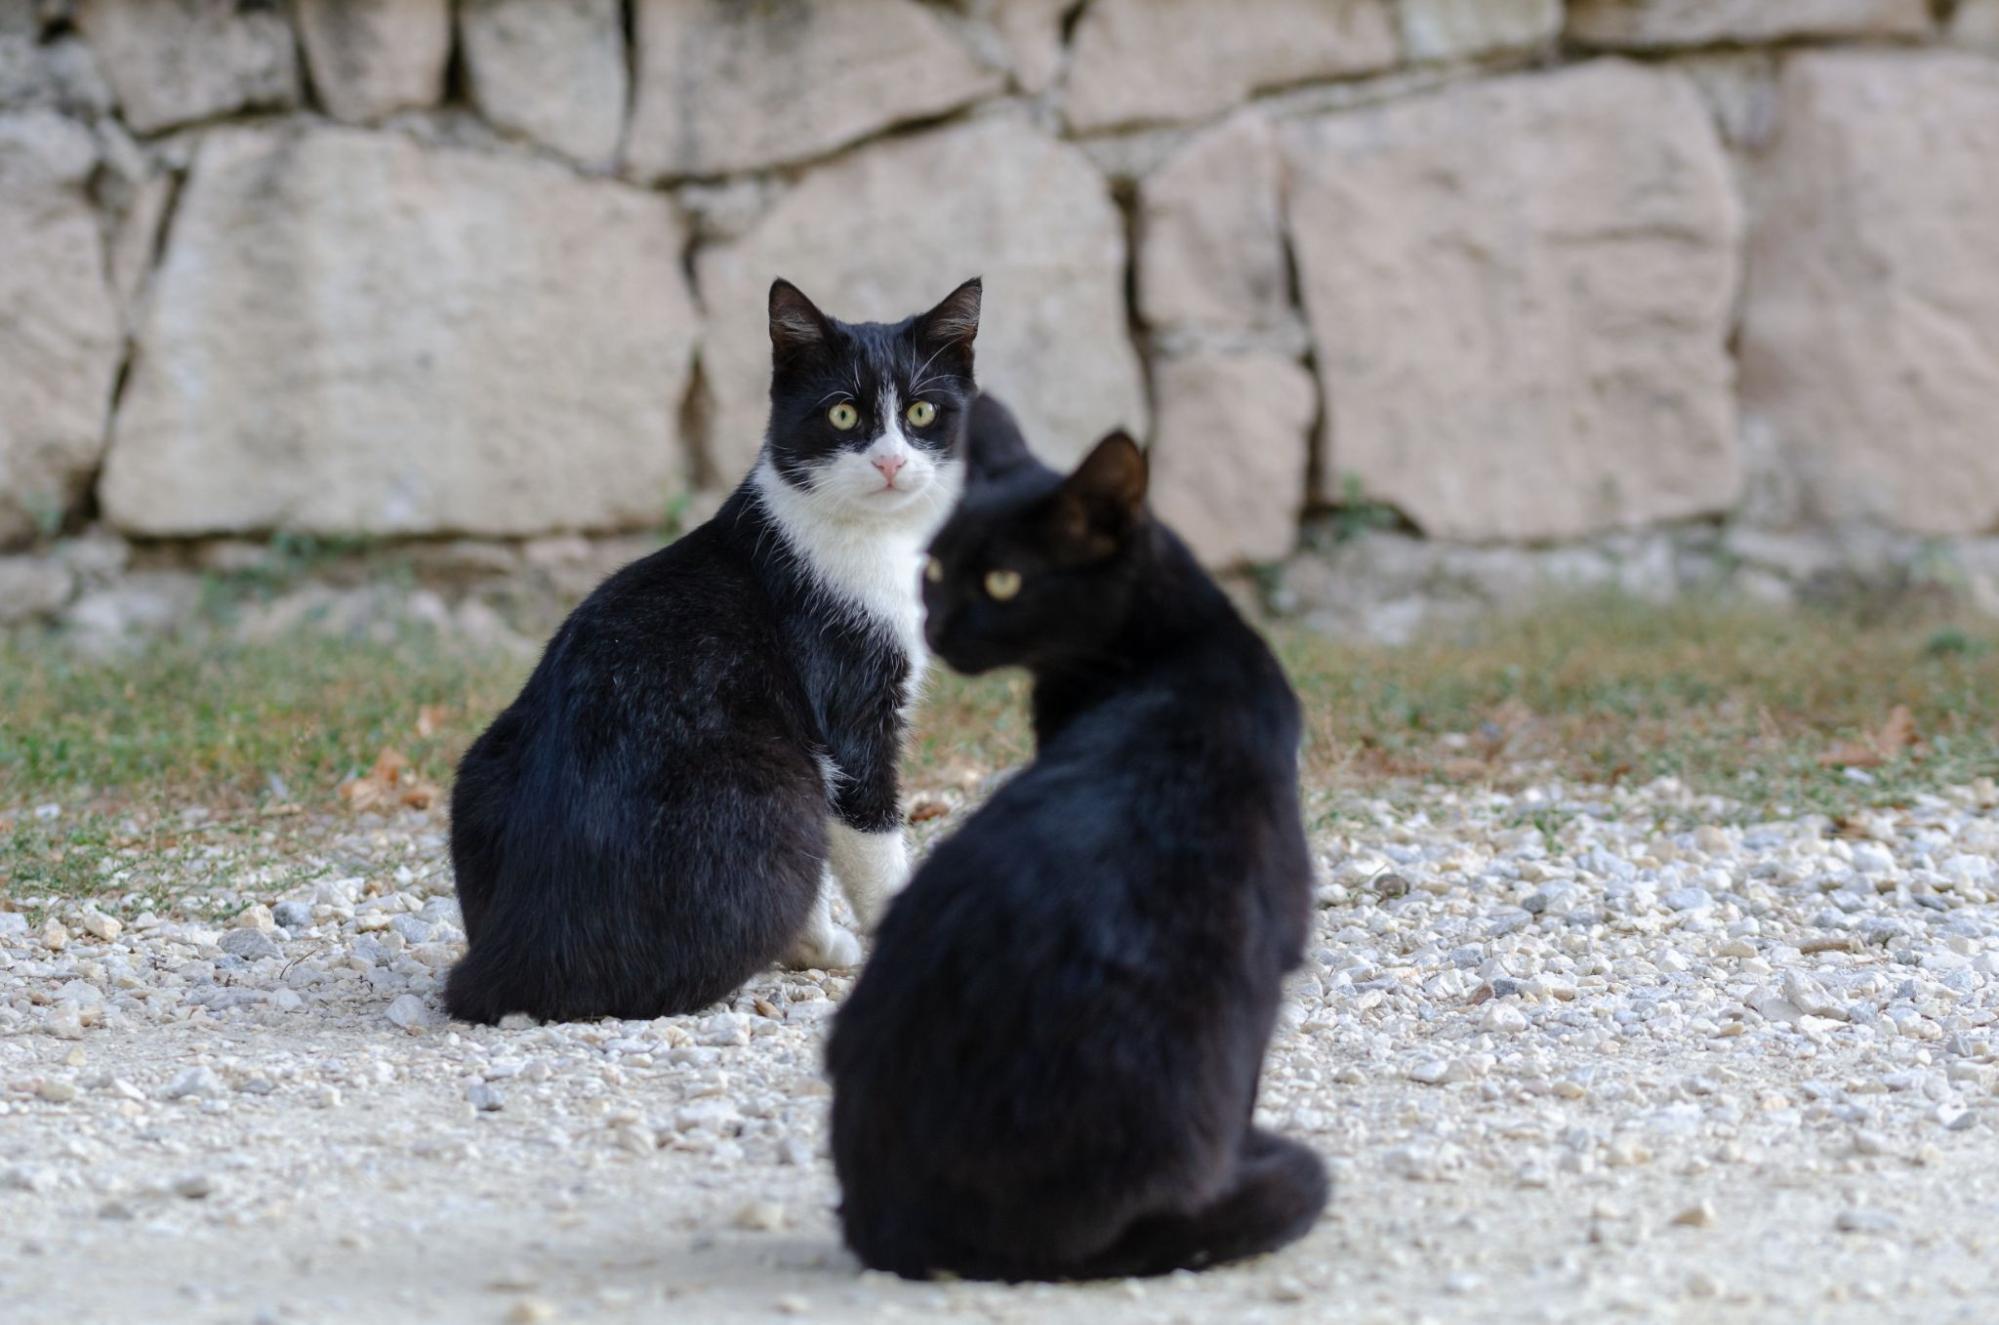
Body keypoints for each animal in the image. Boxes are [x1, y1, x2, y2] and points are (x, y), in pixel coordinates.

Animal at [449, 279, 987, 1023]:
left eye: (922, 410)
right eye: (843, 413)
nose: (889, 460)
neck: (872, 541)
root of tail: (514, 949)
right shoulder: (849, 705)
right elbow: (871, 833)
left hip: (479, 765)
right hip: (772, 784)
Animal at [827, 395, 1327, 1287]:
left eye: (1001, 580)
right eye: (933, 570)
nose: (934, 627)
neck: (1170, 649)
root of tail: (897, 1228)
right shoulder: (1271, 958)